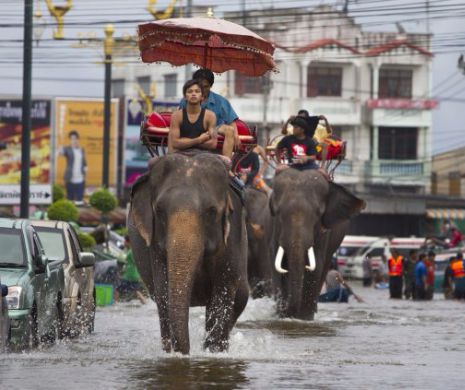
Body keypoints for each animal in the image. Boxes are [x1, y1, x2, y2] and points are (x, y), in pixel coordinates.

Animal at [127, 152, 248, 354]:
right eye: (159, 210)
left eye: (211, 211)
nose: (184, 352)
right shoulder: (155, 246)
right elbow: (163, 291)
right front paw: (171, 353)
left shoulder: (233, 235)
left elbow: (222, 294)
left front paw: (212, 352)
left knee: (240, 298)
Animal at [268, 168, 366, 320]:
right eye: (278, 212)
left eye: (318, 214)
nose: (290, 312)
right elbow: (277, 266)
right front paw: (282, 315)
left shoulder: (323, 234)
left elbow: (315, 267)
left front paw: (303, 318)